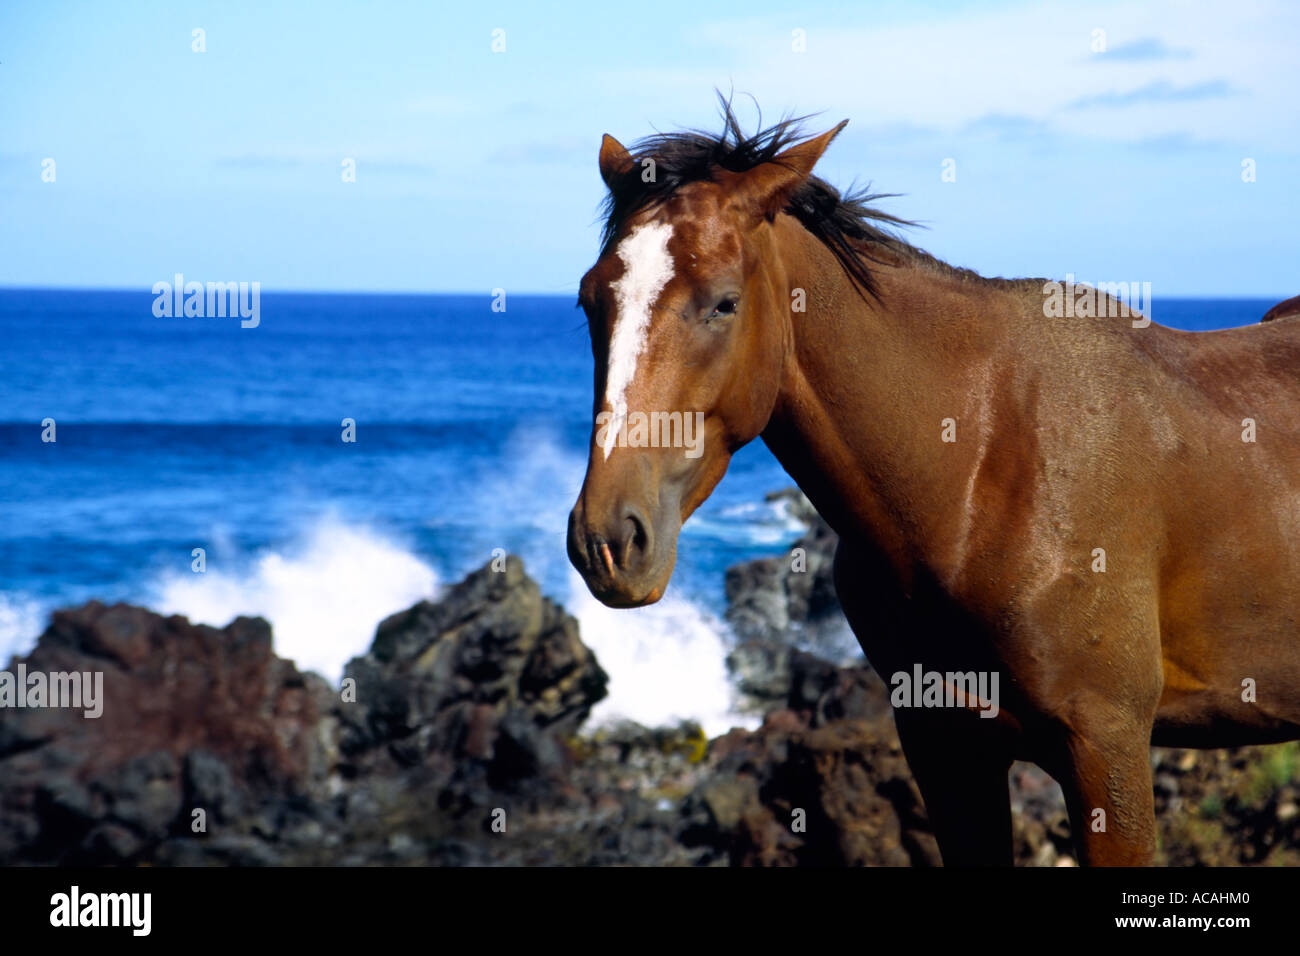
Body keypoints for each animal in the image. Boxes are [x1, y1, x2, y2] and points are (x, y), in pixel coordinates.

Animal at [566, 102, 1300, 866]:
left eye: (724, 304)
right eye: (590, 302)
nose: (608, 540)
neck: (978, 470)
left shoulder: (1108, 746)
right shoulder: (946, 747)